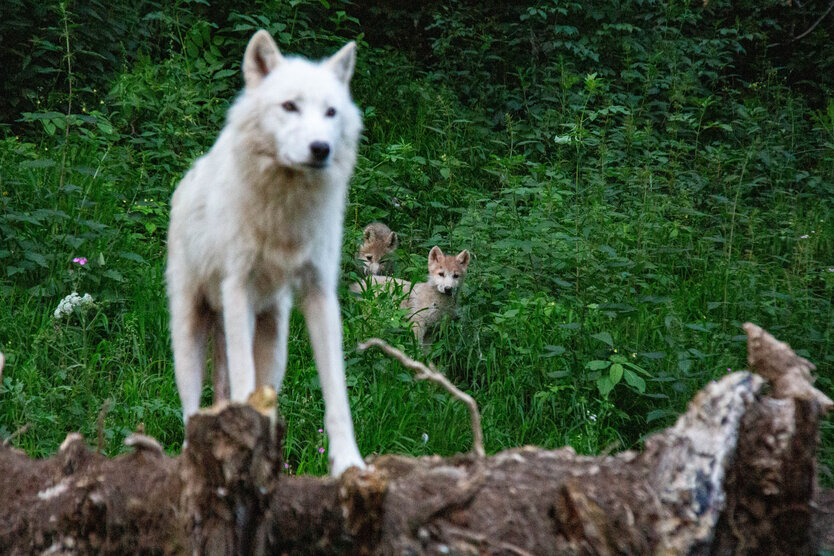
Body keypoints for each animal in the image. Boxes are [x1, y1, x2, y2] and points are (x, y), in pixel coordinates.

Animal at [166, 29, 364, 474]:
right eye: (290, 106)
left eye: (331, 112)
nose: (321, 148)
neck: (285, 208)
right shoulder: (237, 288)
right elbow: (241, 382)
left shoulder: (321, 294)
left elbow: (338, 394)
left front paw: (348, 464)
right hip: (190, 335)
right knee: (191, 410)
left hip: (275, 342)